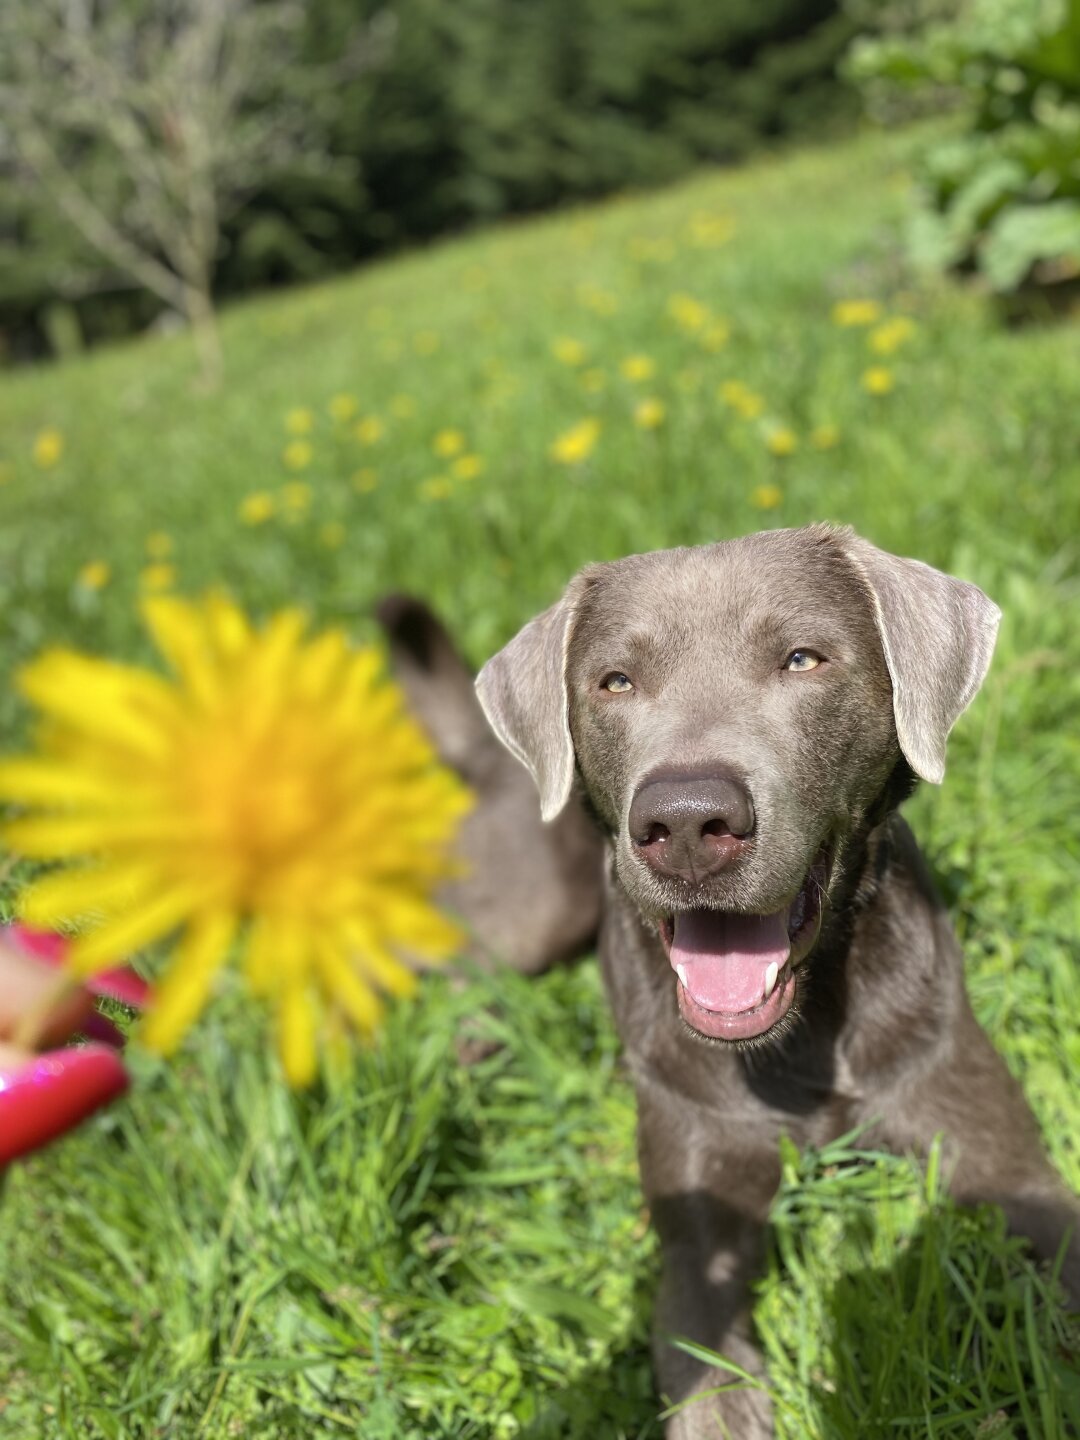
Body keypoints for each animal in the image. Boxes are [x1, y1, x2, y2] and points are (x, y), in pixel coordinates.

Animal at [475, 527, 1080, 1440]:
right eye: (615, 681)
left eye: (801, 659)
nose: (688, 821)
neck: (804, 1038)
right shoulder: (699, 1206)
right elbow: (706, 1366)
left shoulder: (996, 1152)